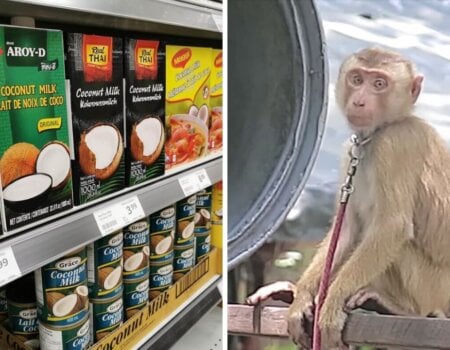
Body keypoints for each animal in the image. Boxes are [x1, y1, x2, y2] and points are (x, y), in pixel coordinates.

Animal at [246, 47, 450, 350]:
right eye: (357, 79)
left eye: (379, 83)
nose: (360, 100)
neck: (379, 133)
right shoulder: (349, 153)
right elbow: (346, 231)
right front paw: (302, 297)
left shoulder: (396, 145)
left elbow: (392, 227)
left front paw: (331, 303)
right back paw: (289, 291)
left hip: (434, 288)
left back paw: (398, 308)